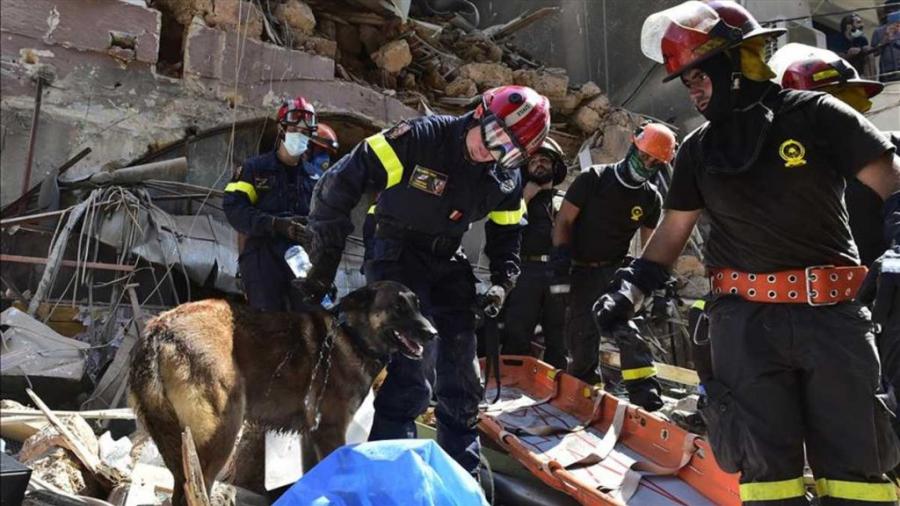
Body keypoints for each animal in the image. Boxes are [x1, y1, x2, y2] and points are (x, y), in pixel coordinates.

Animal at [127, 280, 436, 506]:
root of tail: (159, 328)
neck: (353, 336)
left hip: (177, 442)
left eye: (418, 305)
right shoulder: (331, 431)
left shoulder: (312, 436)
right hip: (221, 434)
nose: (433, 333)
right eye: (397, 307)